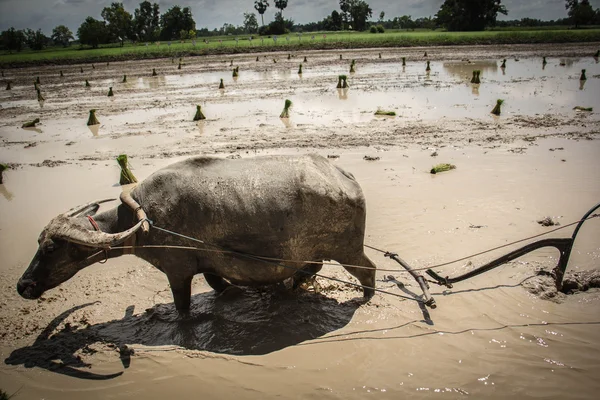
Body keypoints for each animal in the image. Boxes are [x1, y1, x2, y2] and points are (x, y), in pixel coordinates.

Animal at [17, 155, 376, 310]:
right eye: (38, 243)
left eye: (50, 248)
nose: (23, 285)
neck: (142, 221)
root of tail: (344, 176)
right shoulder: (209, 265)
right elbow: (220, 285)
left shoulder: (177, 272)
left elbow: (182, 307)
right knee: (311, 267)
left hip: (347, 249)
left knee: (368, 270)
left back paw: (365, 297)